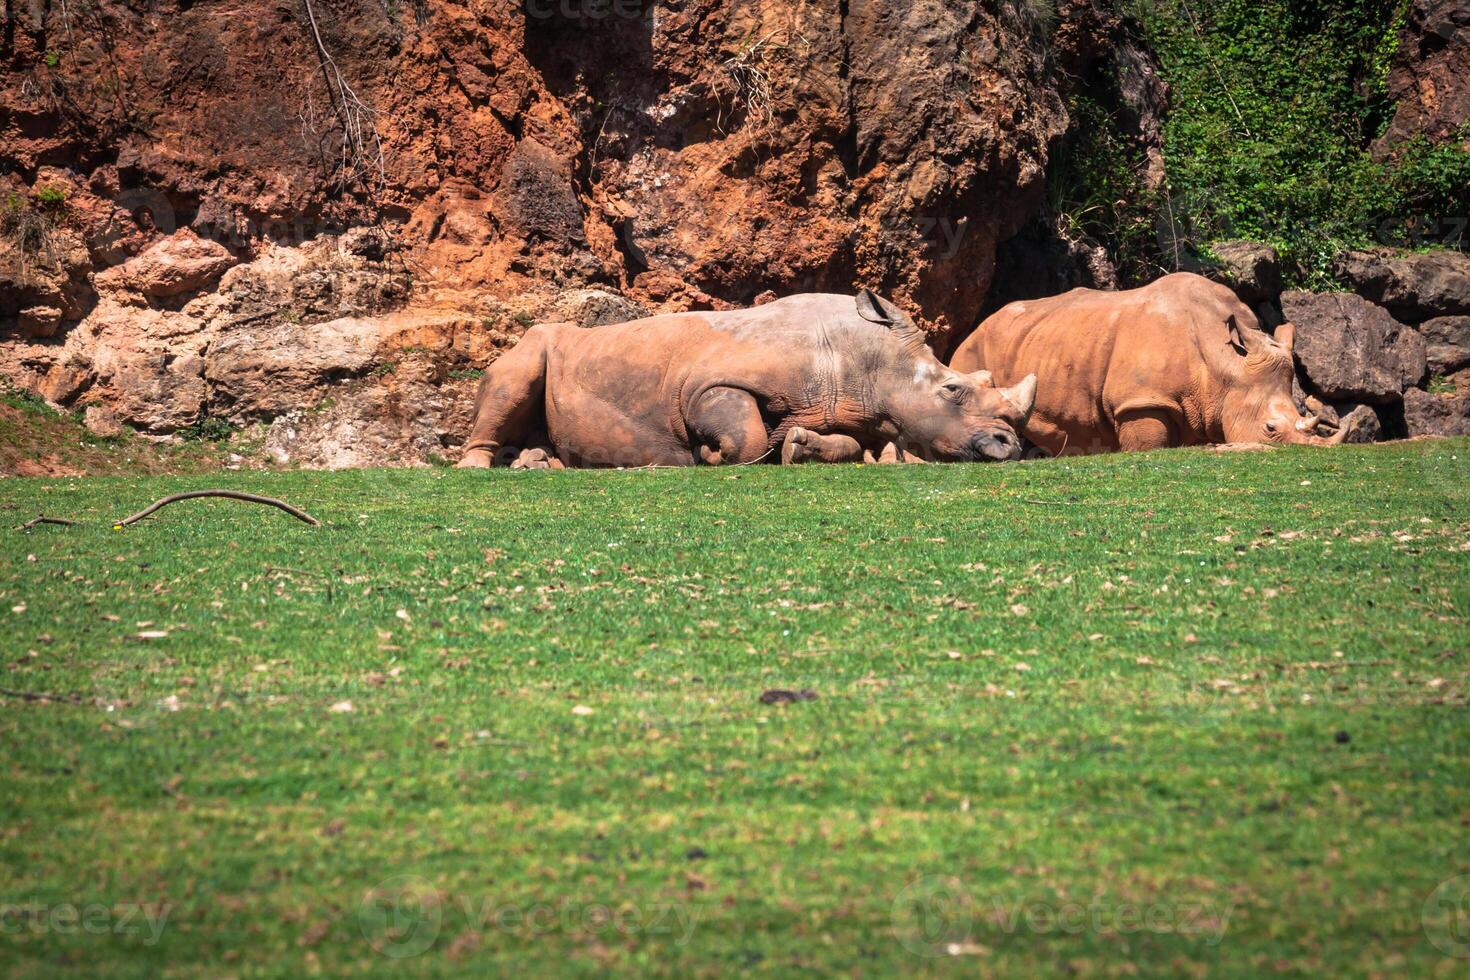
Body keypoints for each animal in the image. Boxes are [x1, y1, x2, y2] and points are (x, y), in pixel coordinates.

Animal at [452, 289, 1040, 470]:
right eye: (952, 390)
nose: (1009, 445)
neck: (868, 360)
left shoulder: (854, 410)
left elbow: (847, 444)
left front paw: (799, 447)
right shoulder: (709, 384)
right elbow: (746, 434)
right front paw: (709, 454)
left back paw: (538, 463)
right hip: (535, 344)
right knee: (515, 375)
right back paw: (481, 468)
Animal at [946, 271, 1358, 455]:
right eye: (1270, 429)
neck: (1225, 365)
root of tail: (974, 327)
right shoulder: (1141, 401)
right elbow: (1148, 446)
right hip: (972, 352)